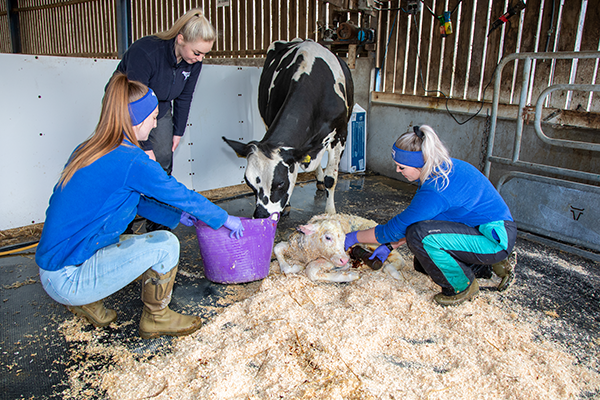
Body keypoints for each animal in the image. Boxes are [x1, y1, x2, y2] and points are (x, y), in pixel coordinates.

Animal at [223, 38, 354, 219]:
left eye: (280, 183)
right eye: (249, 183)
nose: (261, 216)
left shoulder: (341, 134)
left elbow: (331, 179)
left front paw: (330, 213)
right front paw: (287, 206)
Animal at [274, 214, 406, 282]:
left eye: (344, 239)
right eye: (328, 237)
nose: (345, 260)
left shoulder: (333, 258)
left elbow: (310, 270)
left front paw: (348, 275)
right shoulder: (293, 246)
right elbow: (277, 248)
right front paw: (293, 267)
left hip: (374, 240)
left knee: (397, 257)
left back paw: (394, 272)